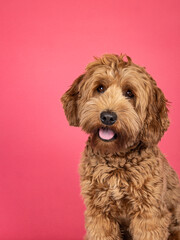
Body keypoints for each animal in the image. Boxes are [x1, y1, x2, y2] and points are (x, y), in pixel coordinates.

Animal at [60, 54, 180, 240]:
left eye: (129, 93)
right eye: (100, 88)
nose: (108, 117)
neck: (116, 158)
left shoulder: (149, 215)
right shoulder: (99, 213)